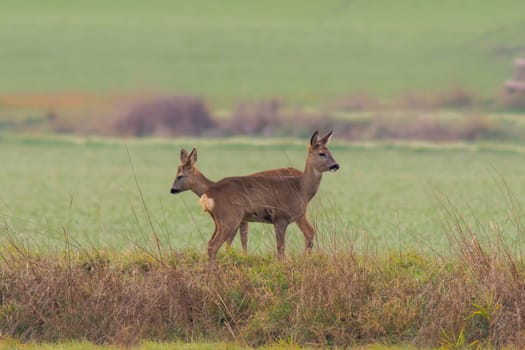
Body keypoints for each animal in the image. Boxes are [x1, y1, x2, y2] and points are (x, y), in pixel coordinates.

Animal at [170, 146, 316, 253]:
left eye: (180, 176)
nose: (172, 189)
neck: (210, 186)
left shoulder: (240, 218)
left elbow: (234, 241)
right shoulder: (244, 219)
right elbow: (242, 239)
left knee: (309, 231)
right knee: (310, 231)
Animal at [199, 130, 338, 266]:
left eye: (330, 152)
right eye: (321, 153)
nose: (336, 165)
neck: (300, 188)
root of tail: (208, 194)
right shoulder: (281, 217)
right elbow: (281, 248)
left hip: (218, 219)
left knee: (209, 243)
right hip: (230, 217)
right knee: (213, 245)